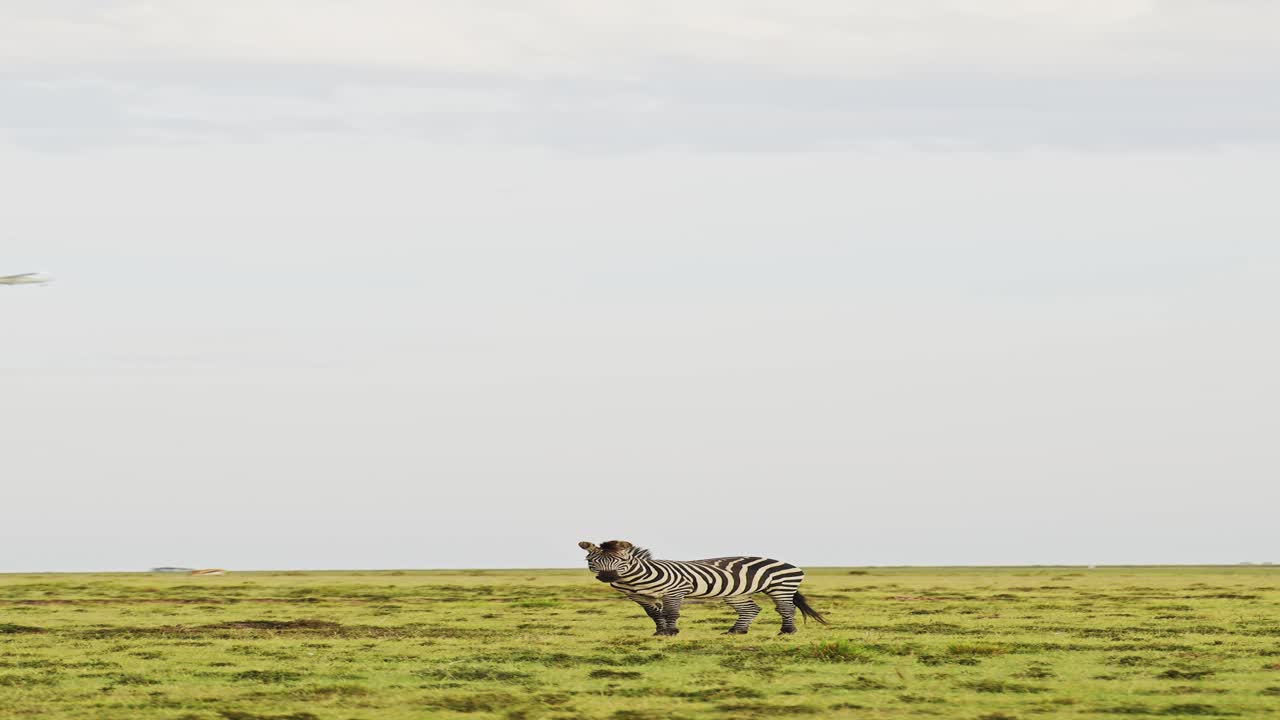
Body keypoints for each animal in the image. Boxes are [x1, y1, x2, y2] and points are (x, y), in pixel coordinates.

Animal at [578, 540, 827, 635]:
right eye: (594, 561)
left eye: (620, 560)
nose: (608, 576)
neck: (637, 579)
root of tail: (789, 564)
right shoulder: (638, 597)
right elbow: (654, 614)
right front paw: (659, 631)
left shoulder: (675, 590)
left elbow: (671, 612)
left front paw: (671, 632)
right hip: (737, 593)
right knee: (751, 609)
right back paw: (736, 631)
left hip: (781, 587)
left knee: (786, 608)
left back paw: (787, 631)